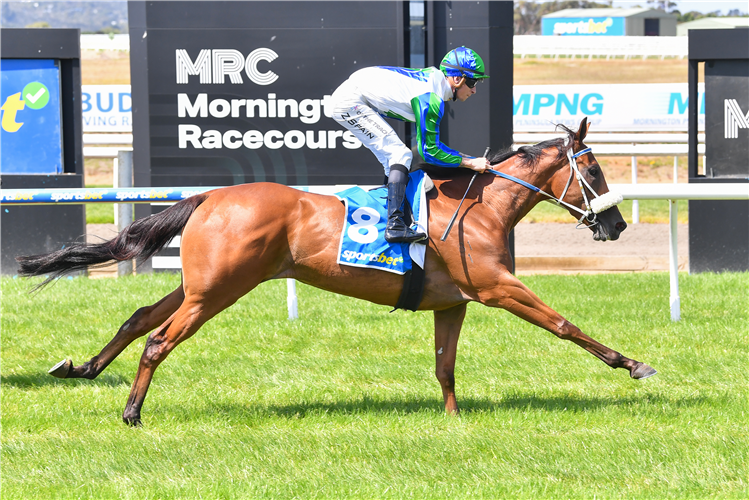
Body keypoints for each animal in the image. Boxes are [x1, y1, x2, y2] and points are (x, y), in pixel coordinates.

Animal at [17, 118, 656, 426]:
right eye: (593, 170)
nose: (617, 224)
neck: (480, 206)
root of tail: (210, 196)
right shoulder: (497, 287)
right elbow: (565, 324)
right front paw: (633, 364)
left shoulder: (454, 301)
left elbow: (445, 365)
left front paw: (454, 418)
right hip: (219, 289)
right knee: (157, 340)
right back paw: (131, 412)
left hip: (199, 283)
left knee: (138, 317)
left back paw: (82, 368)